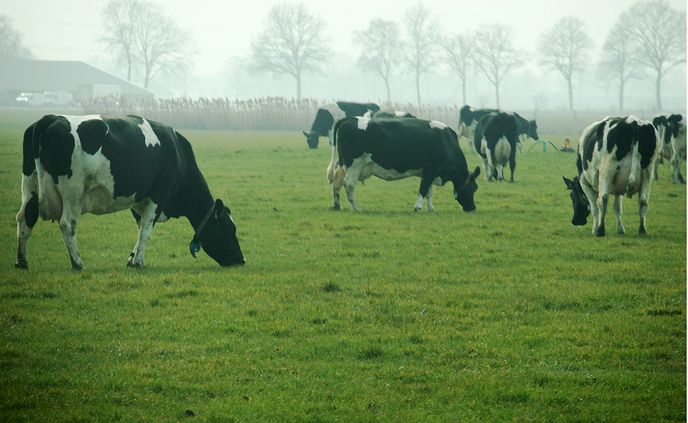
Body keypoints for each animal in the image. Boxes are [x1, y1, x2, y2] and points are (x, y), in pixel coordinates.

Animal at [15, 114, 245, 270]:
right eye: (229, 230)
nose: (241, 260)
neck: (178, 154)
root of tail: (51, 118)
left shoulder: (140, 199)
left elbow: (140, 227)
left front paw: (131, 258)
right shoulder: (159, 195)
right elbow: (146, 230)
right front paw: (138, 262)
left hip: (30, 184)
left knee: (25, 218)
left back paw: (22, 262)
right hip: (73, 191)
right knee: (67, 224)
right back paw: (78, 263)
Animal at [329, 116, 480, 212]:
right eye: (474, 187)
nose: (473, 207)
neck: (447, 141)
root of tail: (349, 118)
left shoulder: (428, 172)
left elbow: (429, 192)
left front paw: (430, 208)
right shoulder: (431, 169)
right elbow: (423, 189)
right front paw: (418, 207)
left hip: (343, 164)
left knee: (337, 183)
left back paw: (337, 206)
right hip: (355, 164)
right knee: (349, 184)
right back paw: (355, 208)